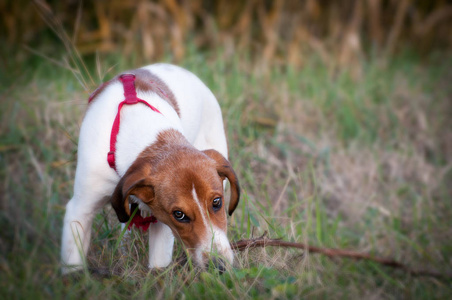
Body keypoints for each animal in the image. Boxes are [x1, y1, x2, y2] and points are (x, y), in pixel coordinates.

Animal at [62, 63, 244, 274]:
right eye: (179, 215)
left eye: (217, 203)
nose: (219, 266)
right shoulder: (80, 210)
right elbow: (72, 265)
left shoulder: (161, 223)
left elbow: (158, 265)